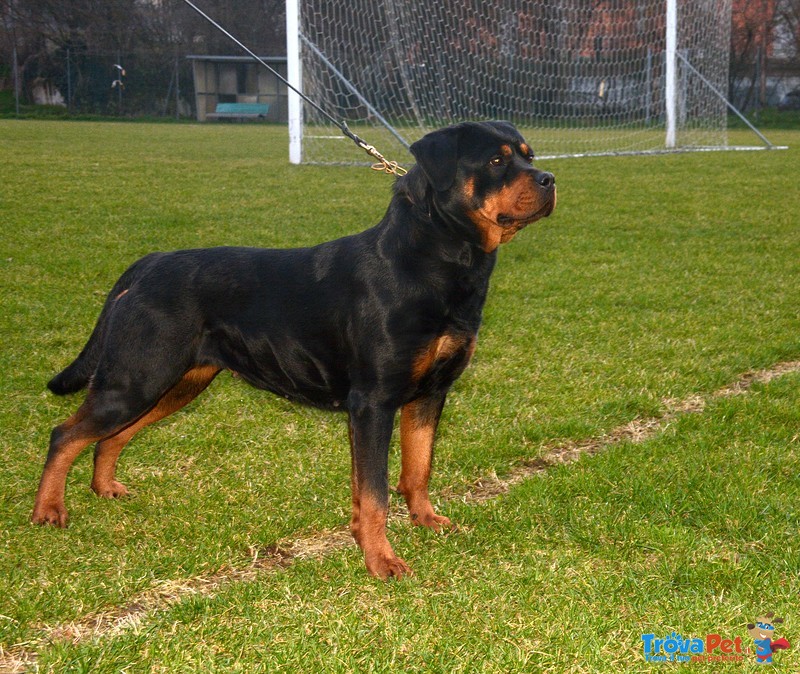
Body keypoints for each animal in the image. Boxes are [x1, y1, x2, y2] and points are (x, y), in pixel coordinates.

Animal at [32, 119, 556, 572]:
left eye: (529, 157)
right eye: (496, 161)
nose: (550, 179)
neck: (436, 258)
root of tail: (147, 265)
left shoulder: (429, 393)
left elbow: (417, 468)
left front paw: (426, 521)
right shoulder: (373, 401)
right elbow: (377, 491)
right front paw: (381, 560)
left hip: (175, 382)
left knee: (110, 435)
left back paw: (105, 489)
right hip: (139, 376)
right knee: (66, 433)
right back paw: (48, 511)